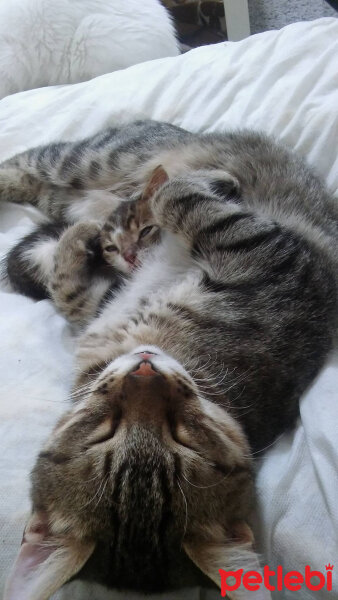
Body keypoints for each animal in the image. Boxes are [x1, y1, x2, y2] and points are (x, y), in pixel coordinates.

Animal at [1, 120, 336, 600]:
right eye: (101, 435)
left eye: (185, 440)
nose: (144, 370)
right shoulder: (114, 300)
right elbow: (72, 288)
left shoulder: (267, 255)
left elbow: (170, 200)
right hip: (94, 160)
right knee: (27, 165)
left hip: (91, 165)